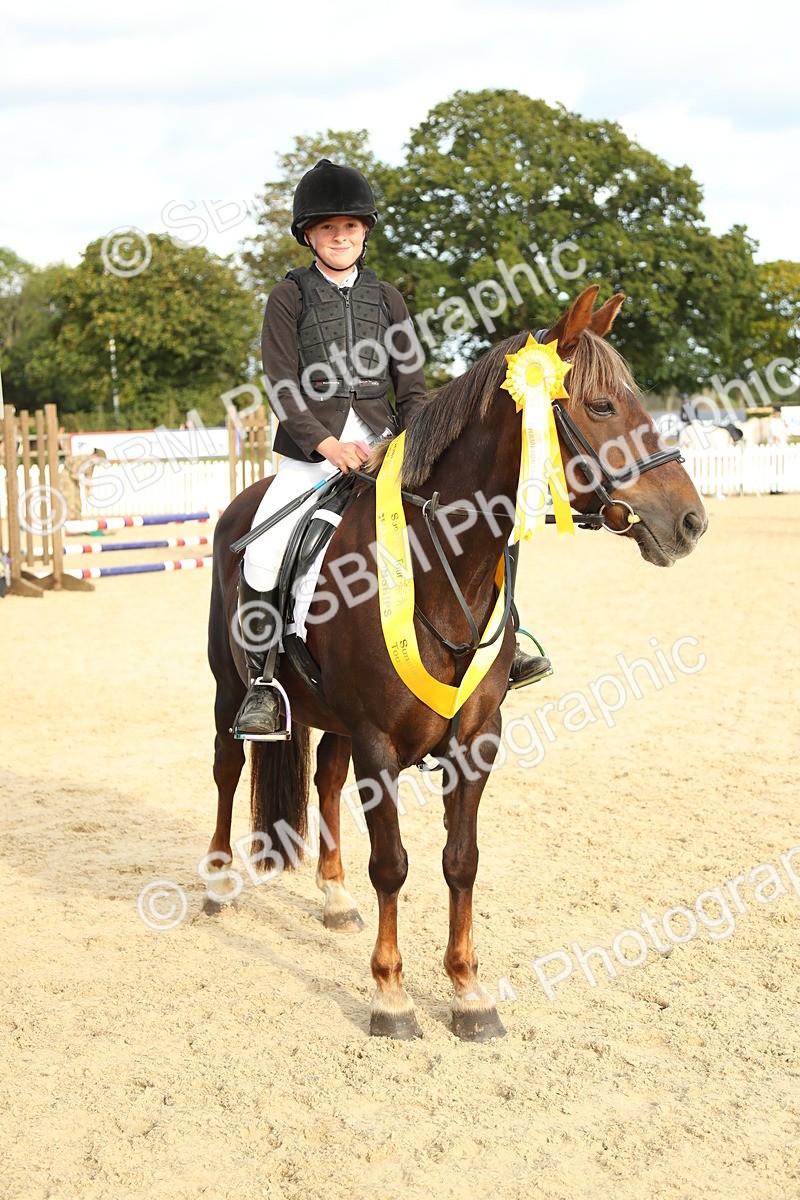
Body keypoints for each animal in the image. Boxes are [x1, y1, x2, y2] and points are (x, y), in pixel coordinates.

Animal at [205, 284, 708, 1041]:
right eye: (599, 407)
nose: (689, 522)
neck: (442, 566)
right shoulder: (379, 743)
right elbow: (393, 865)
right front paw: (390, 996)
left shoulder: (474, 741)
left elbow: (461, 861)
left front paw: (469, 992)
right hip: (228, 687)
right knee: (228, 769)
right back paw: (216, 885)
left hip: (333, 718)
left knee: (324, 778)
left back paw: (334, 898)